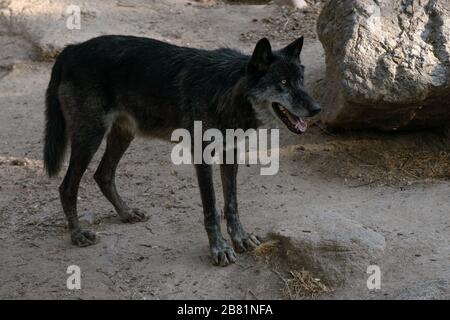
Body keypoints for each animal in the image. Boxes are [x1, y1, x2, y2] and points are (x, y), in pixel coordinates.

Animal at [44, 34, 320, 264]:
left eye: (301, 81)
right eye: (283, 82)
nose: (317, 108)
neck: (226, 91)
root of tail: (71, 48)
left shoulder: (230, 153)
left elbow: (231, 204)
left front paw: (240, 239)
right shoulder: (202, 156)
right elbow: (211, 208)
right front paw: (219, 249)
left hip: (123, 135)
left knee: (103, 175)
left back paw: (126, 213)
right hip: (89, 138)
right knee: (67, 187)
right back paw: (78, 234)